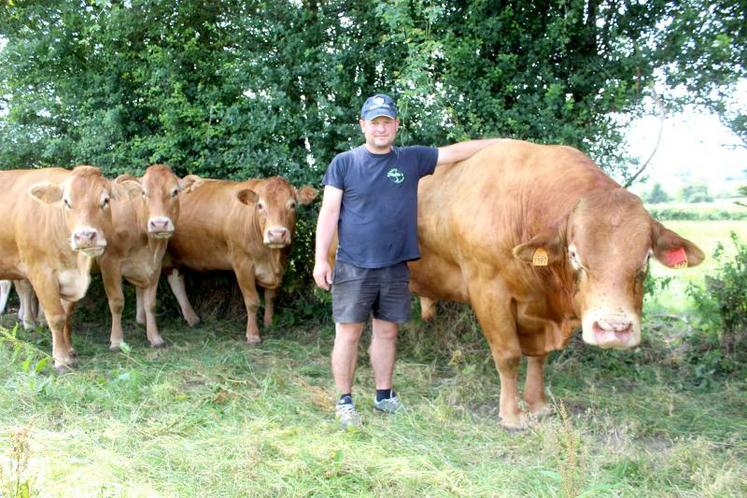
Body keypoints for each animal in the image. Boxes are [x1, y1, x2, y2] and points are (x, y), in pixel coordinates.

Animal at [0, 166, 136, 370]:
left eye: (105, 200)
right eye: (66, 202)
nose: (85, 236)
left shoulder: (69, 278)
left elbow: (67, 315)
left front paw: (70, 351)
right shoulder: (41, 273)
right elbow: (56, 317)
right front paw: (61, 360)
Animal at [162, 175, 318, 342]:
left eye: (293, 205)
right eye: (260, 205)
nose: (276, 234)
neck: (271, 258)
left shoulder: (280, 265)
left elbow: (270, 297)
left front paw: (269, 323)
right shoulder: (242, 264)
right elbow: (252, 301)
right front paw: (253, 334)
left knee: (176, 282)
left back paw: (192, 319)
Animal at [410, 140, 708, 428]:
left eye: (646, 258)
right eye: (574, 255)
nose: (613, 329)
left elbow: (539, 357)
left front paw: (538, 406)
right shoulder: (489, 290)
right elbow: (508, 355)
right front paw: (512, 416)